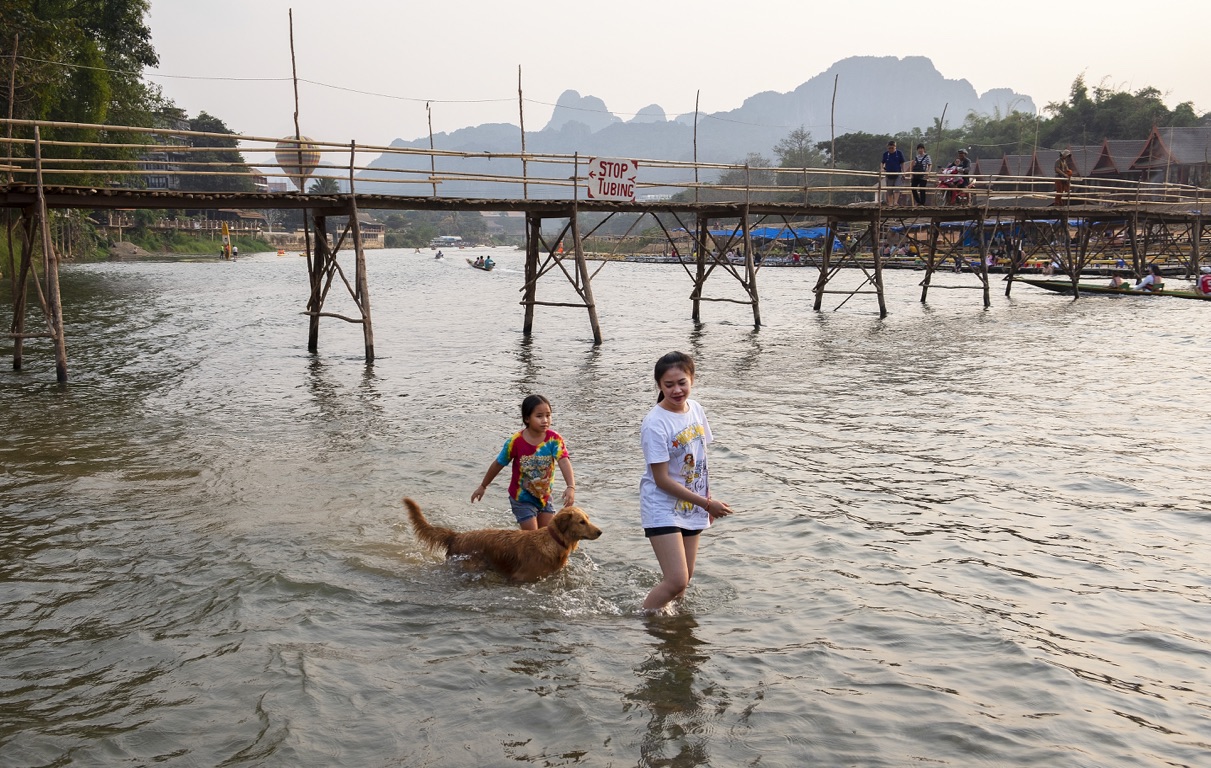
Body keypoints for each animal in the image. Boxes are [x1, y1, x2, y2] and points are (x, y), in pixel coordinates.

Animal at [404, 496, 603, 579]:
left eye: (588, 518)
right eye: (581, 521)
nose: (600, 531)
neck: (553, 542)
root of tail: (457, 536)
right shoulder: (521, 578)